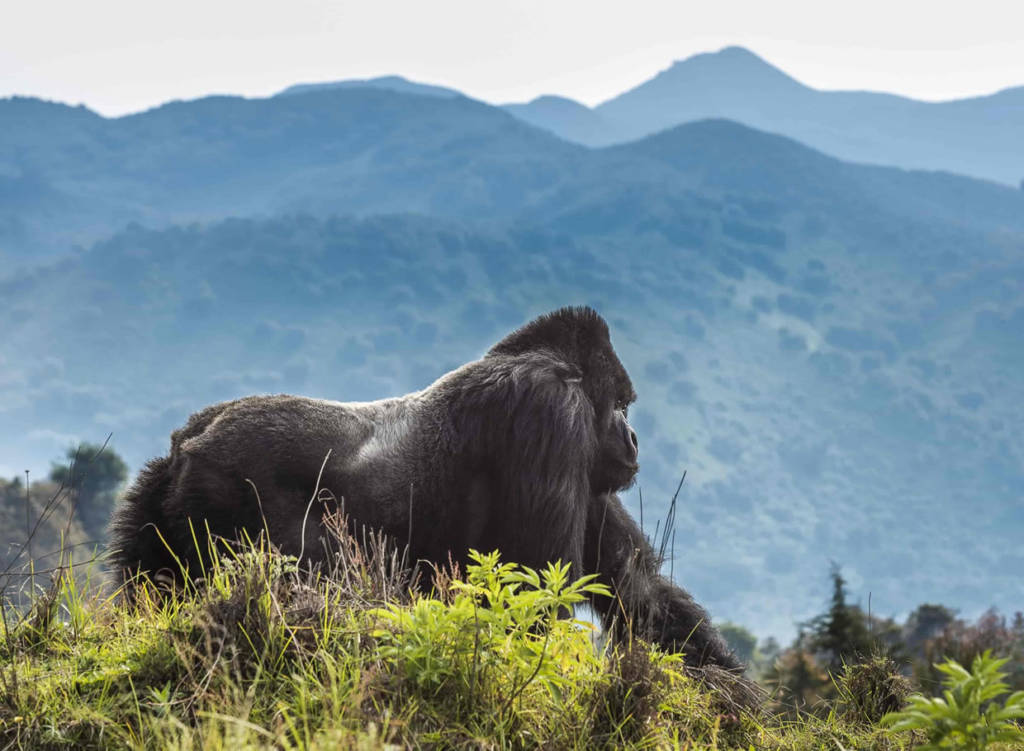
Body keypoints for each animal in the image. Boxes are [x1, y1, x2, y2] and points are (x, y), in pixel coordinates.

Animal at [108, 305, 741, 668]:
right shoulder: (551, 414)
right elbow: (537, 589)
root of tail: (185, 441)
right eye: (624, 407)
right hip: (224, 486)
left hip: (158, 505)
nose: (633, 439)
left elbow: (642, 593)